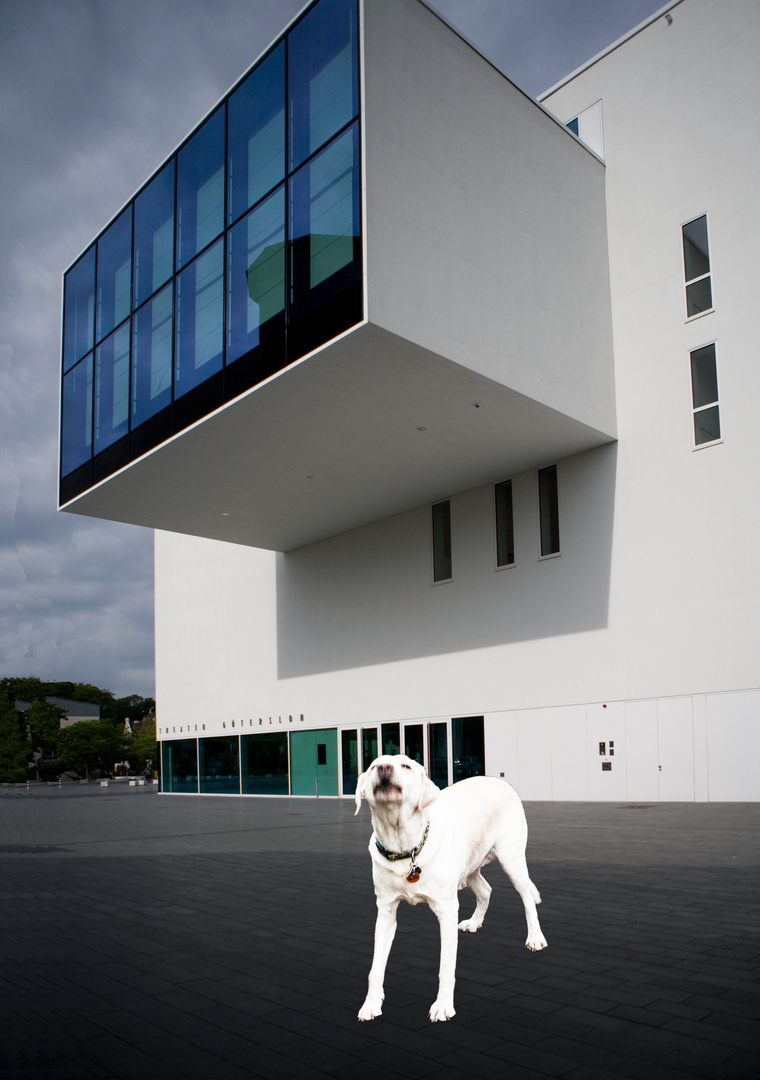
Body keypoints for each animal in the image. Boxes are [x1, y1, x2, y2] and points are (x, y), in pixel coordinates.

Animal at [356, 751, 546, 1019]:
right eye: (373, 766)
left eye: (405, 765)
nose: (383, 768)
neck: (405, 847)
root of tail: (502, 781)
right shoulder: (385, 911)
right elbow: (376, 967)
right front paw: (372, 1003)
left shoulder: (446, 910)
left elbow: (446, 967)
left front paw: (443, 1006)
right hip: (470, 865)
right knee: (486, 890)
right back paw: (475, 922)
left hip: (512, 860)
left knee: (527, 898)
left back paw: (535, 937)